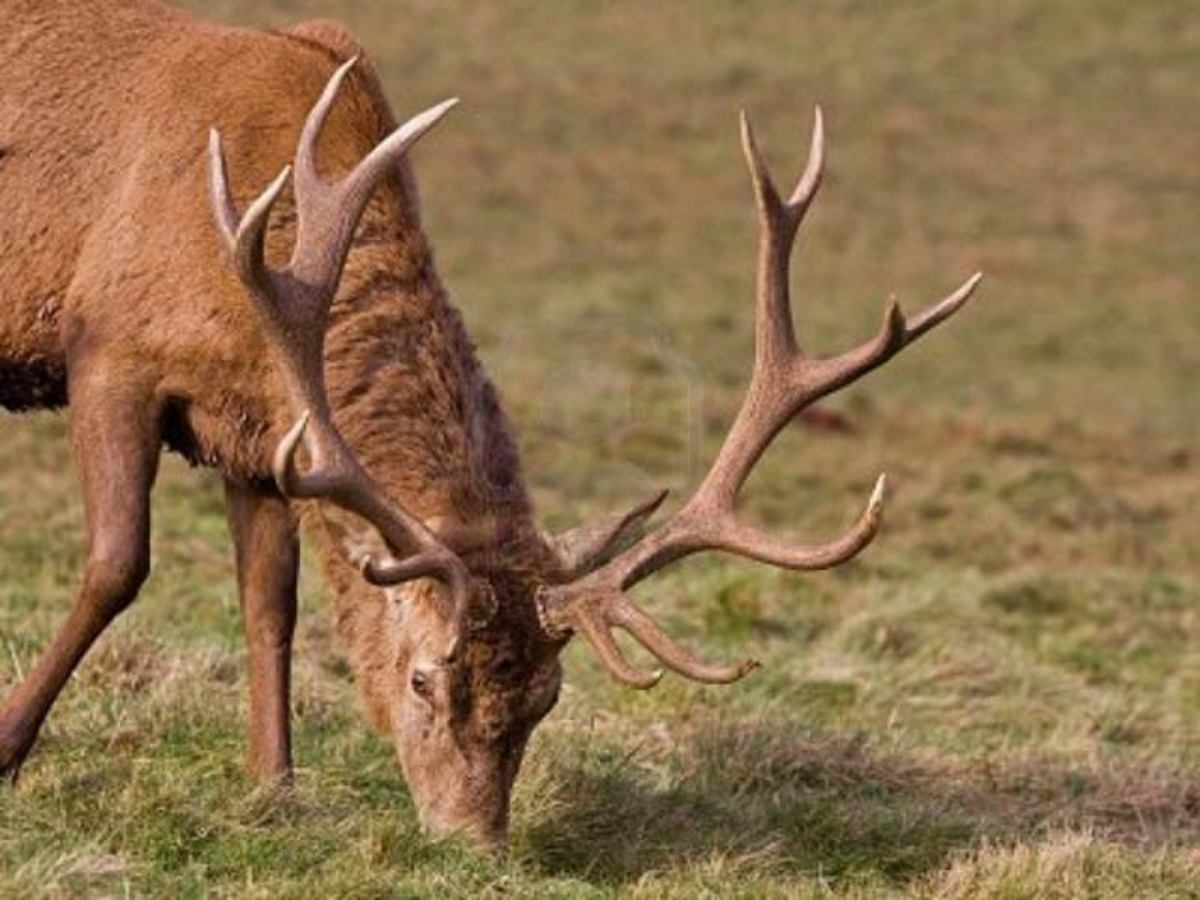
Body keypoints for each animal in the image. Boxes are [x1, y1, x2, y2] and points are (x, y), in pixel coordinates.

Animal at [0, 0, 979, 854]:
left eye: (546, 697)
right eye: (423, 678)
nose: (475, 844)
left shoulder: (256, 439)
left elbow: (269, 605)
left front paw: (274, 787)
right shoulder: (109, 351)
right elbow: (118, 564)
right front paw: (10, 749)